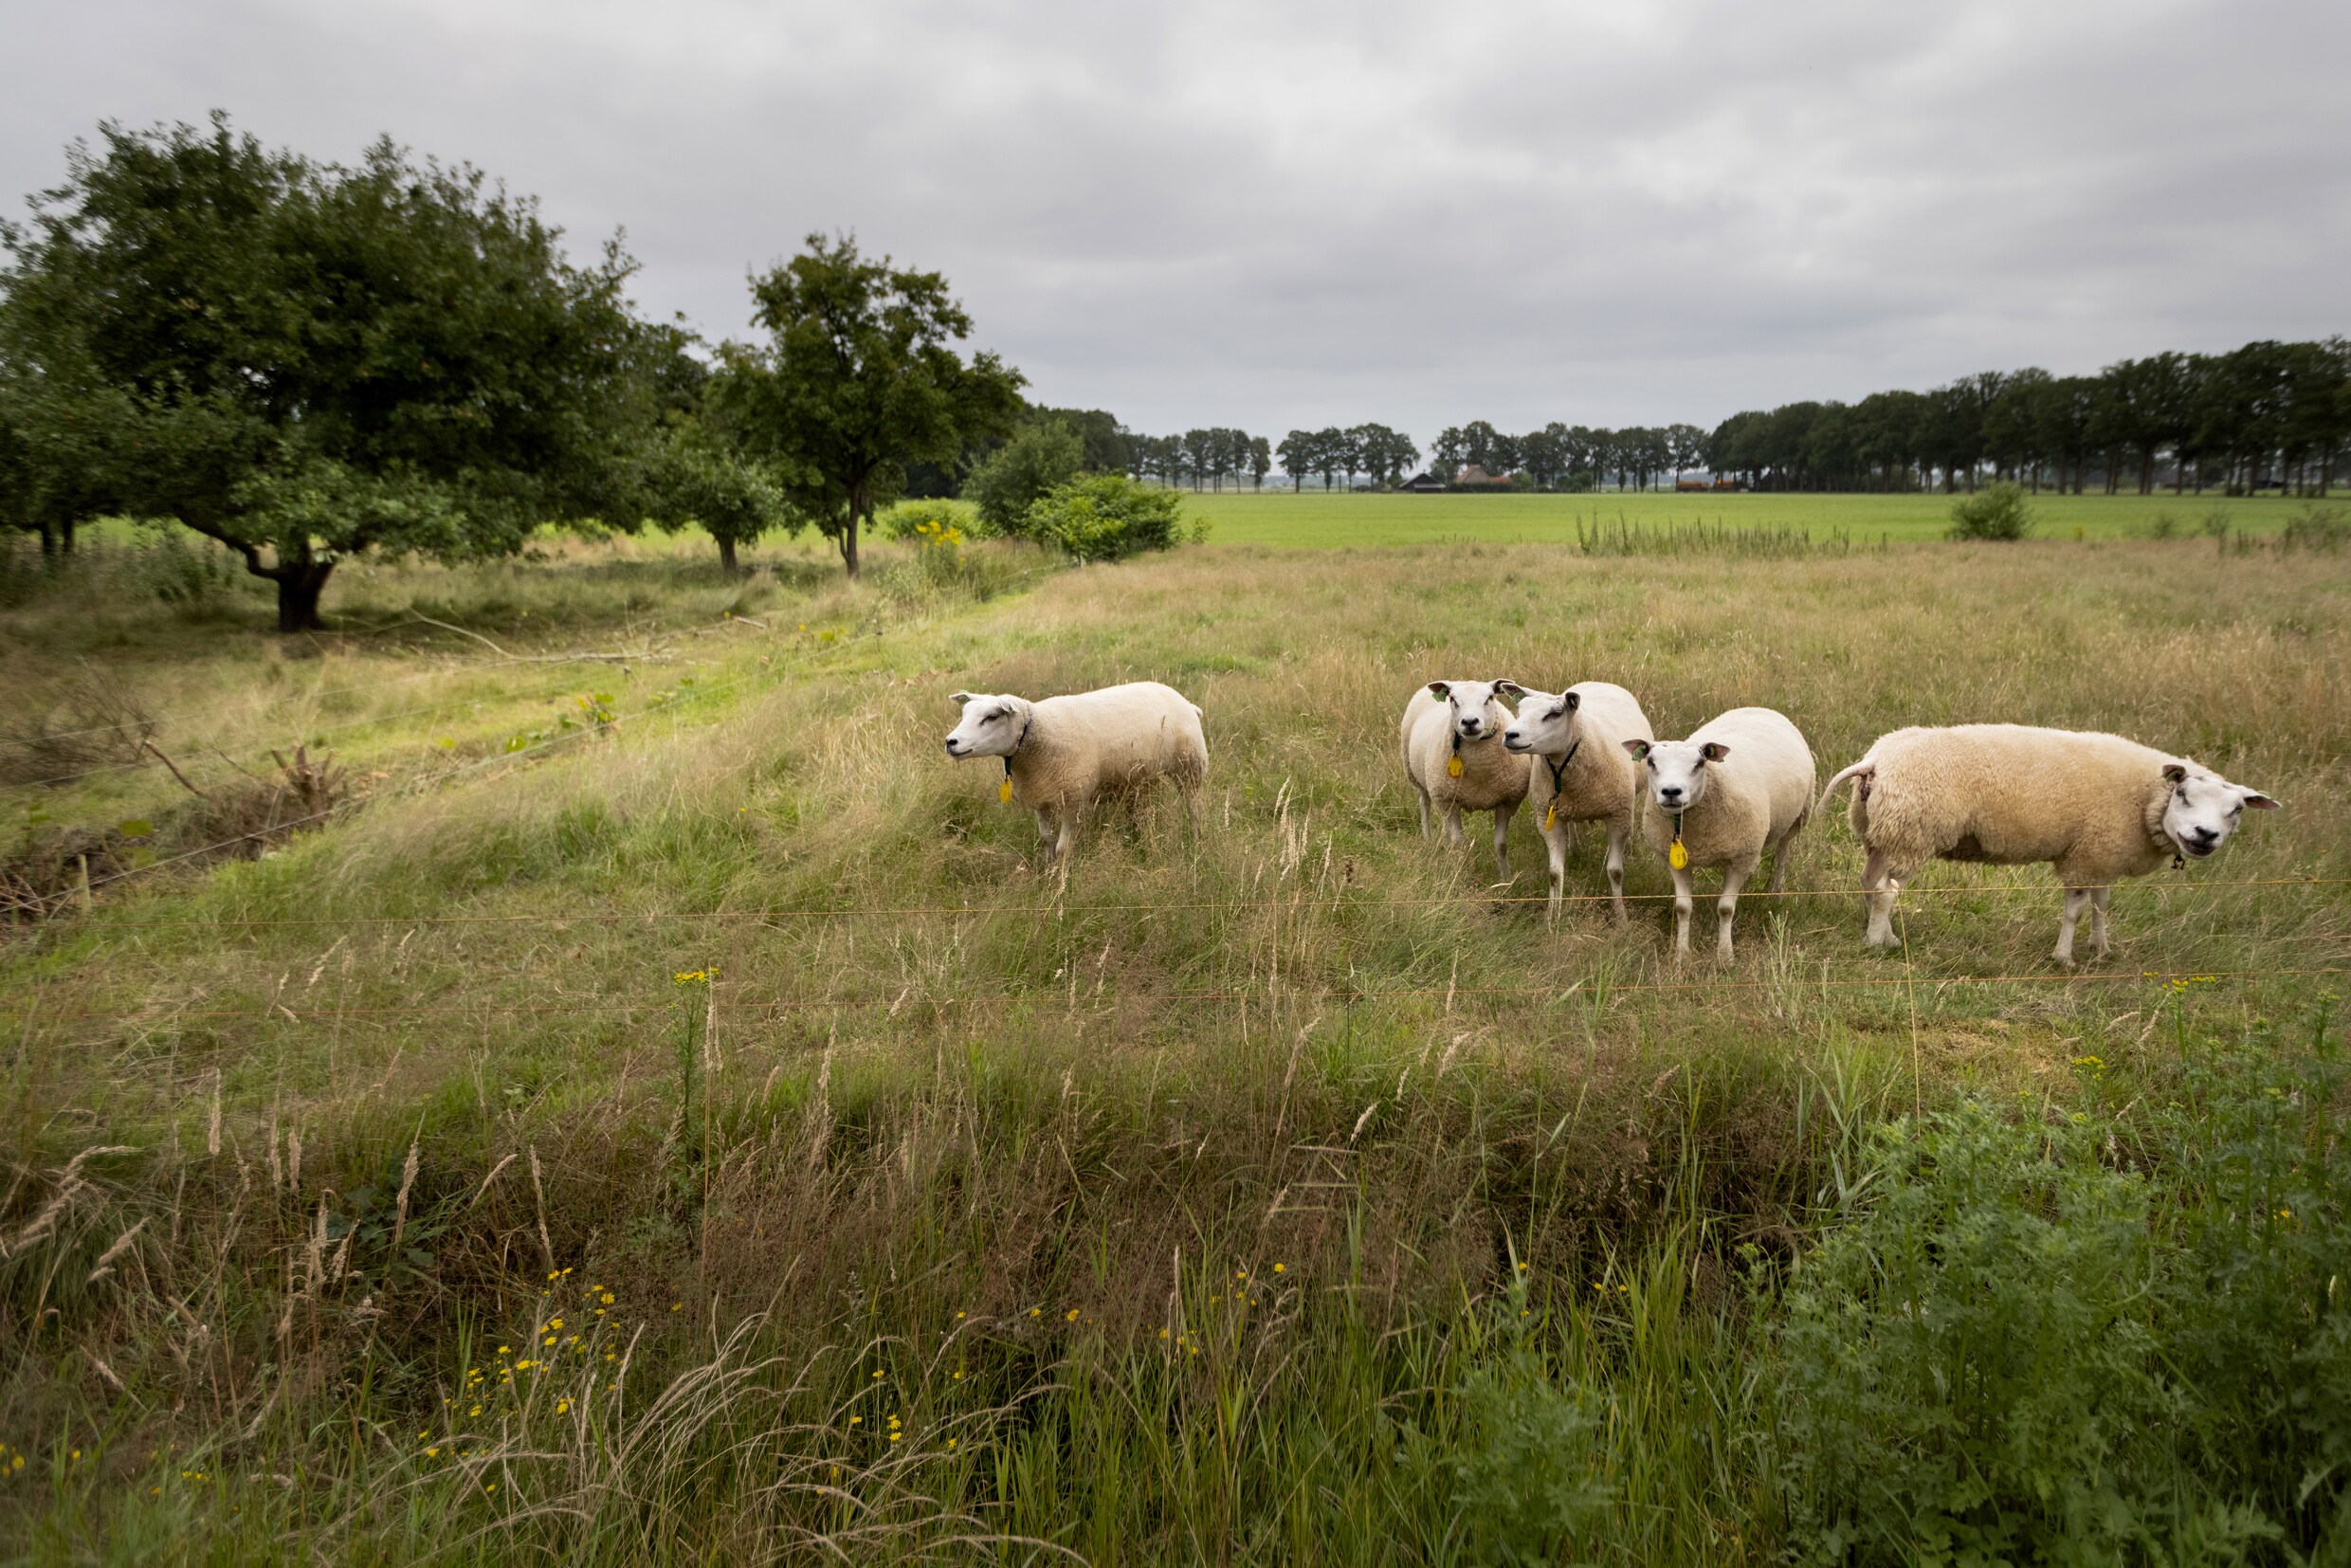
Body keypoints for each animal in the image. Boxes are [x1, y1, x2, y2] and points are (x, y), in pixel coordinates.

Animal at [940, 682, 1203, 860]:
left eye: (992, 716)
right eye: (964, 714)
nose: (950, 742)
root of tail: (1184, 700)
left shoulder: (1074, 801)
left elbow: (1063, 848)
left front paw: (1061, 883)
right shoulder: (1042, 798)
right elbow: (1046, 841)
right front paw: (1047, 872)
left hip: (1191, 765)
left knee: (1193, 807)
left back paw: (1196, 839)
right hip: (1140, 777)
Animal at [1401, 682, 1532, 884]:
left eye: (1489, 698)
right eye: (1453, 700)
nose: (1470, 722)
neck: (1480, 769)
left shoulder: (1506, 802)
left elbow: (1501, 845)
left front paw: (1505, 879)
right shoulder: (1450, 801)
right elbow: (1459, 843)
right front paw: (1462, 873)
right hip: (1417, 776)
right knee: (1425, 804)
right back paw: (1428, 839)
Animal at [1504, 682, 1654, 926]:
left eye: (1555, 713)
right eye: (1520, 709)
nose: (1510, 735)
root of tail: (1597, 682)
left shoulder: (1619, 815)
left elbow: (1615, 872)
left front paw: (1621, 919)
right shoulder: (1547, 817)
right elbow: (1554, 874)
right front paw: (1551, 918)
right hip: (1567, 807)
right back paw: (1574, 847)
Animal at [1636, 709, 1814, 958]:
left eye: (1700, 763)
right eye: (1651, 762)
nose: (1671, 791)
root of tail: (1758, 708)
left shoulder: (1741, 859)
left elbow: (1726, 909)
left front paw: (1725, 954)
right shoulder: (1676, 862)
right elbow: (1682, 908)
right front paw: (1682, 954)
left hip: (1797, 818)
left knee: (1782, 853)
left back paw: (1776, 893)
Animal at [1814, 728, 2275, 968]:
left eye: (2236, 809)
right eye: (2182, 794)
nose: (2205, 835)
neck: (2145, 799)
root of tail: (1875, 760)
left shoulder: (2101, 855)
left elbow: (2101, 905)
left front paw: (2101, 949)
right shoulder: (2085, 855)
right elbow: (2075, 910)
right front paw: (2064, 959)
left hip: (1884, 832)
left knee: (1872, 882)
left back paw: (1886, 935)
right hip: (1914, 831)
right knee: (1887, 891)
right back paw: (1878, 943)